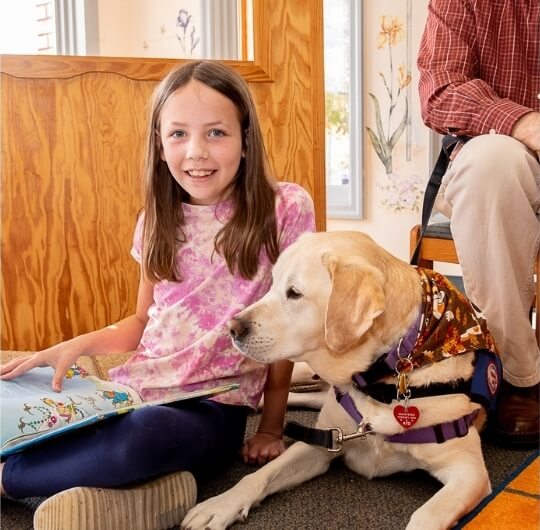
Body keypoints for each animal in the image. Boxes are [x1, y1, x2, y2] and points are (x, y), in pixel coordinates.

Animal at [182, 231, 502, 528]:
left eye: (294, 292)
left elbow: (426, 515)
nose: (232, 328)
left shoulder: (469, 469)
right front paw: (220, 505)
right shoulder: (322, 442)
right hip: (305, 374)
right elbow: (258, 476)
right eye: (271, 284)